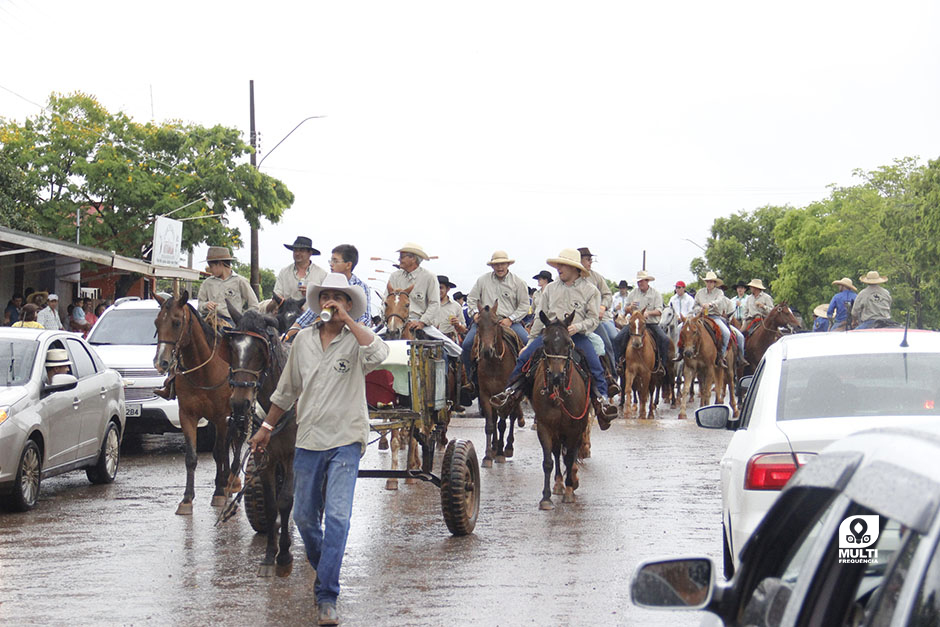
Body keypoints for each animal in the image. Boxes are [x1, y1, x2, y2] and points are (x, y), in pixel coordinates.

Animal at [153, 294, 234, 516]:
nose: (161, 362)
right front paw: (187, 499)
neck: (204, 370)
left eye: (176, 322)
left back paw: (232, 482)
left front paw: (219, 492)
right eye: (156, 323)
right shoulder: (187, 415)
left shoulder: (222, 417)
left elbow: (220, 452)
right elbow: (191, 457)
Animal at [226, 304, 296, 580]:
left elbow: (286, 501)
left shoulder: (293, 455)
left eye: (260, 350)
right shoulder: (262, 455)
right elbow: (271, 503)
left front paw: (284, 553)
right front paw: (269, 555)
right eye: (232, 349)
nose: (239, 403)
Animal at [478, 302, 520, 468]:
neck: (494, 363)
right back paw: (495, 448)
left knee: (513, 417)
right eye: (477, 324)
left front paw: (501, 454)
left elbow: (502, 425)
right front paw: (488, 456)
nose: (487, 351)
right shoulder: (485, 395)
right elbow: (490, 425)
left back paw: (507, 448)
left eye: (495, 323)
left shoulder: (505, 395)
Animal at [528, 310, 588, 510]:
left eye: (568, 342)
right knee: (556, 452)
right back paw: (559, 483)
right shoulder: (544, 427)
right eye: (545, 341)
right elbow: (548, 461)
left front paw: (570, 491)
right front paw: (546, 497)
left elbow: (569, 457)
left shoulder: (575, 428)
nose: (556, 376)